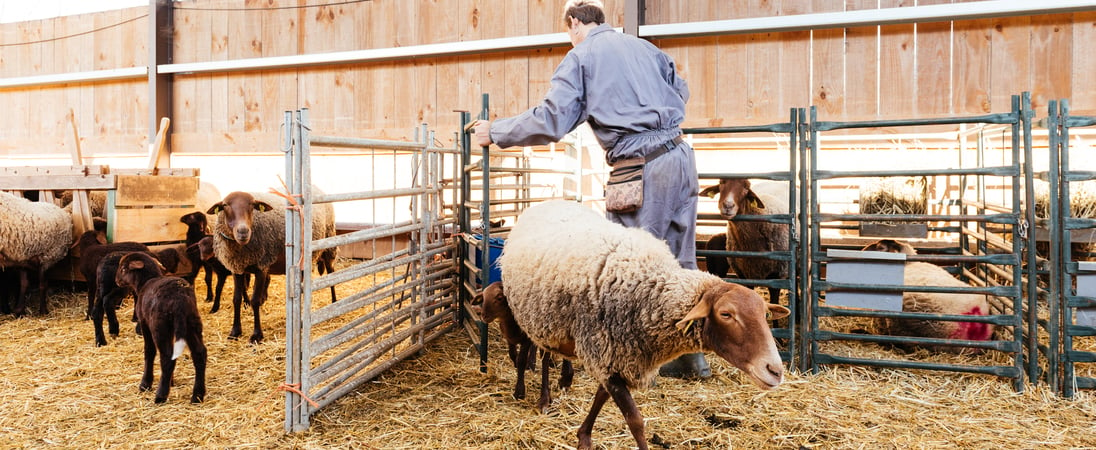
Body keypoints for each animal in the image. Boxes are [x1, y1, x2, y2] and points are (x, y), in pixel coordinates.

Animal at [115, 251, 207, 402]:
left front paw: (145, 384)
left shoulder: (144, 323)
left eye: (123, 269)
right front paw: (171, 381)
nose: (116, 280)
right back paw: (197, 395)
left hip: (160, 327)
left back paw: (160, 395)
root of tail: (180, 299)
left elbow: (149, 351)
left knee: (167, 357)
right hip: (192, 323)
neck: (145, 282)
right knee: (199, 353)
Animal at [497, 200, 789, 450]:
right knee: (541, 356)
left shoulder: (616, 355)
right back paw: (540, 397)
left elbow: (601, 396)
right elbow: (635, 420)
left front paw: (584, 436)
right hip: (535, 316)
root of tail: (547, 202)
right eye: (726, 314)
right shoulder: (604, 350)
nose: (775, 371)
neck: (649, 293)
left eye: (764, 315)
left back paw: (564, 380)